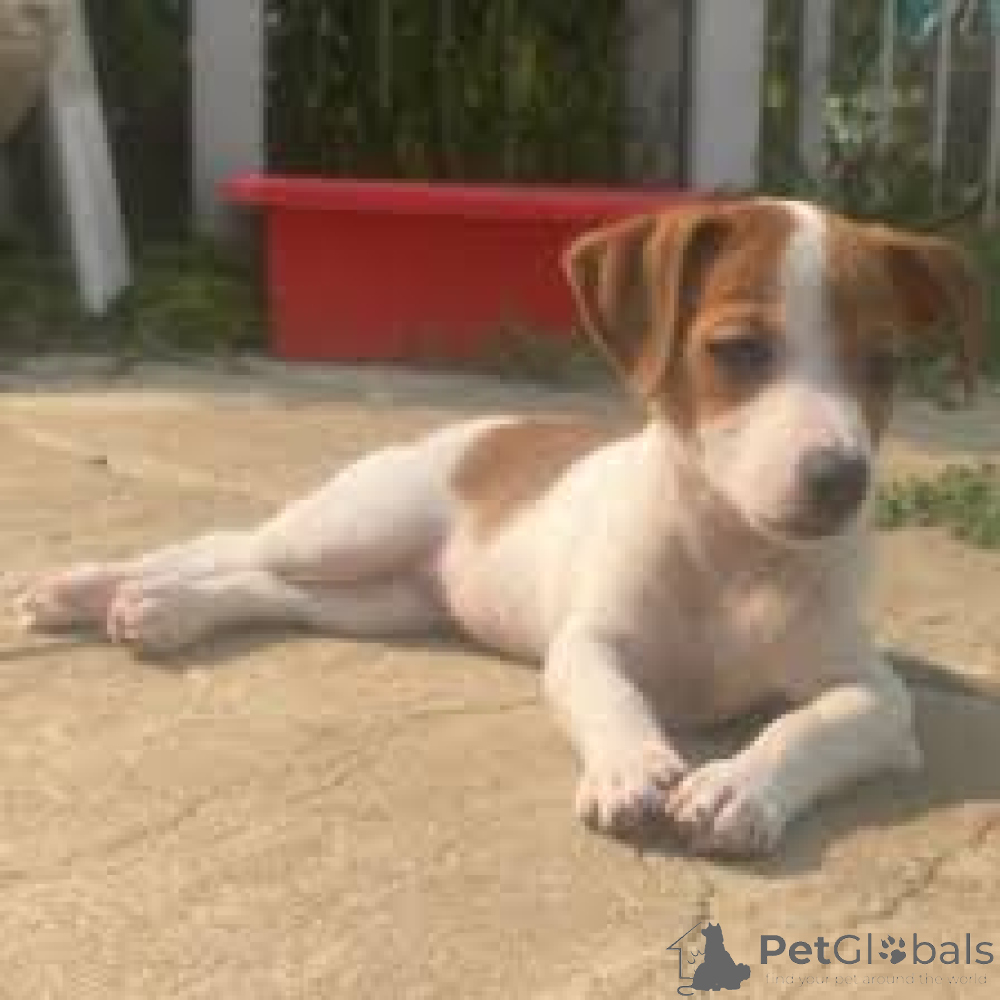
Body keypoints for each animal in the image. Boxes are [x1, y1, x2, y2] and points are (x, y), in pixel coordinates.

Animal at [18, 198, 983, 857]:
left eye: (884, 366)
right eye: (739, 352)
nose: (842, 481)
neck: (732, 555)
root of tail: (481, 428)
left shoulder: (874, 697)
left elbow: (806, 727)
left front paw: (739, 786)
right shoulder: (586, 646)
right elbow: (616, 698)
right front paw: (630, 766)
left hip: (381, 602)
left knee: (264, 589)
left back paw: (161, 612)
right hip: (349, 530)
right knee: (218, 547)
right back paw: (94, 588)